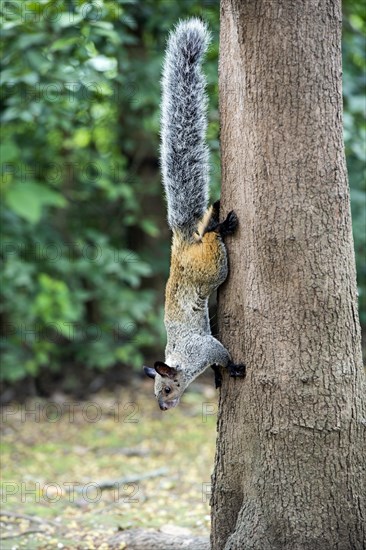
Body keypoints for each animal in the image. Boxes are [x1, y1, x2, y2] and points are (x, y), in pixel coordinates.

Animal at [144, 17, 244, 412]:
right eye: (157, 391)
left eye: (168, 389)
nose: (162, 408)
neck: (183, 360)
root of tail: (182, 243)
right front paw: (218, 377)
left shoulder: (204, 347)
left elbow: (222, 353)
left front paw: (231, 368)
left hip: (212, 268)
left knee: (213, 240)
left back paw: (219, 224)